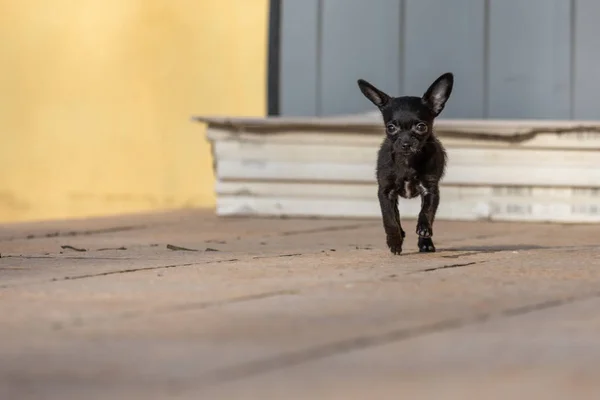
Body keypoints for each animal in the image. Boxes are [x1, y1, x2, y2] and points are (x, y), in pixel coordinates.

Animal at [358, 72, 452, 255]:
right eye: (391, 127)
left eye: (421, 127)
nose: (406, 143)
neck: (407, 162)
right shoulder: (385, 192)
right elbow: (389, 219)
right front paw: (394, 241)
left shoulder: (430, 190)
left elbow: (427, 212)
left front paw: (424, 229)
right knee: (395, 214)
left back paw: (426, 243)